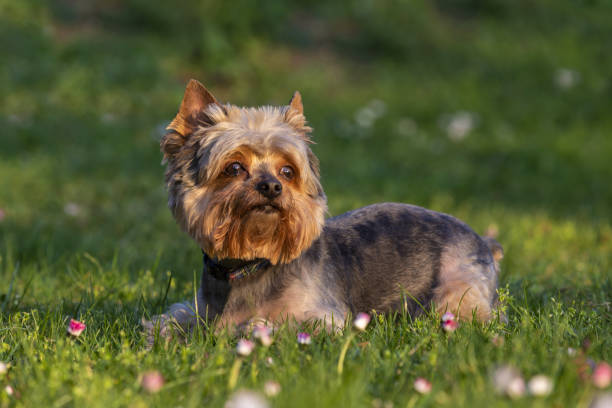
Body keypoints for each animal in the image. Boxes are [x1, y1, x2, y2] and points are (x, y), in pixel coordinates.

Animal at [143, 79, 502, 342]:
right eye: (233, 167)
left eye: (287, 171)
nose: (271, 186)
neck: (251, 265)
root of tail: (483, 241)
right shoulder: (198, 310)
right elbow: (168, 322)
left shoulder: (324, 320)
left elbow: (274, 325)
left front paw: (247, 328)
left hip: (456, 294)